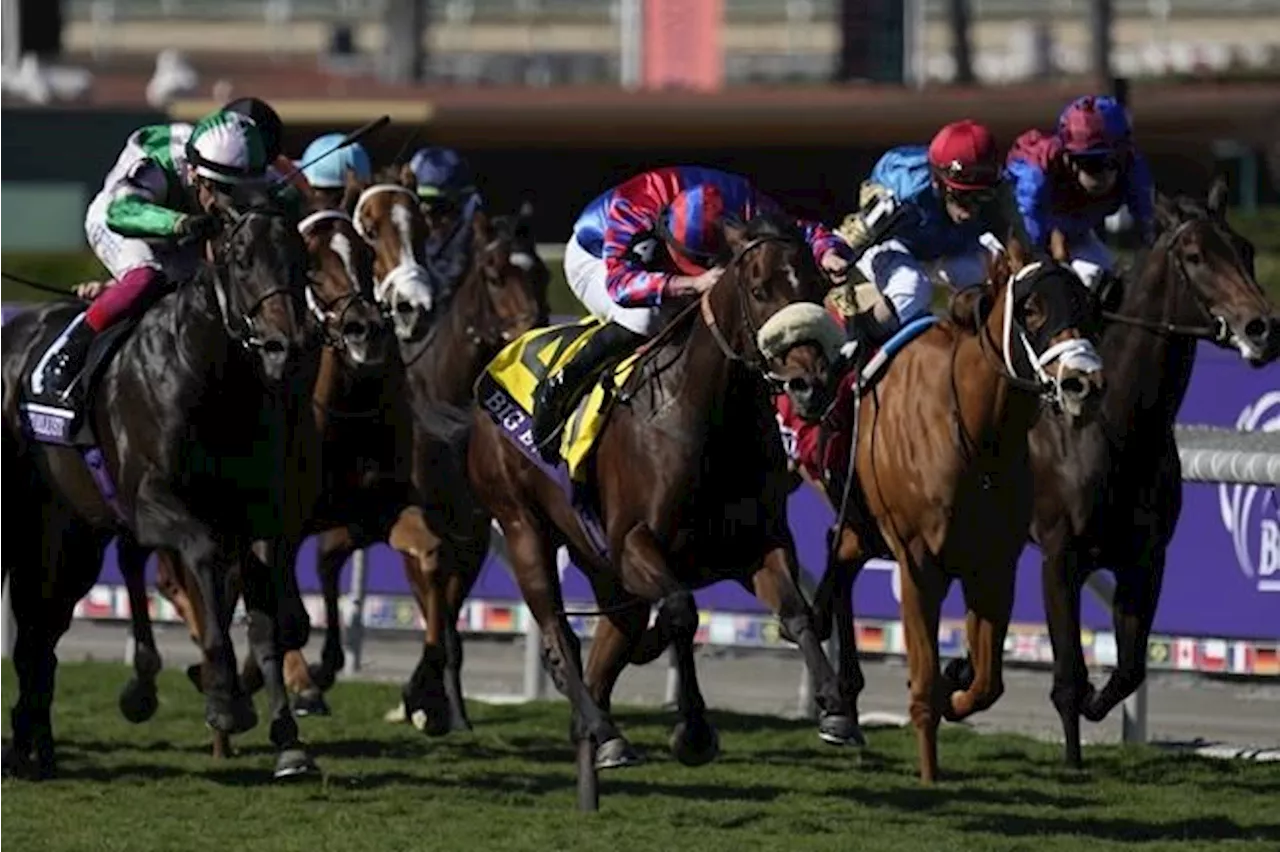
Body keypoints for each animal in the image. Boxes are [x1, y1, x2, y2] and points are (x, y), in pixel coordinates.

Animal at [0, 191, 318, 777]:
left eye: (302, 260)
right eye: (242, 260)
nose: (287, 348)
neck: (210, 374)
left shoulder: (261, 512)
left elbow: (268, 622)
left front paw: (289, 741)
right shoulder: (151, 505)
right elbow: (204, 560)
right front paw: (223, 700)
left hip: (73, 533)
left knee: (42, 631)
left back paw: (33, 744)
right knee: (37, 627)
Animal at [471, 213, 860, 808]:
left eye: (817, 287)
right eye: (758, 289)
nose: (809, 385)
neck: (707, 420)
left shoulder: (759, 544)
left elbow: (796, 612)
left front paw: (835, 707)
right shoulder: (637, 543)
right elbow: (681, 612)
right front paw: (693, 731)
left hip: (599, 561)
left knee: (611, 643)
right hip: (522, 528)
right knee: (560, 635)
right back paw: (604, 732)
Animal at [819, 240, 1111, 782]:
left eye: (1087, 306)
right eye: (1032, 310)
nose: (1085, 384)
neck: (975, 431)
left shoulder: (994, 564)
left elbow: (987, 681)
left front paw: (955, 688)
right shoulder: (918, 561)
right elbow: (922, 681)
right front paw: (930, 774)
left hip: (860, 525)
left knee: (840, 563)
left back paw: (842, 703)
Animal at [1029, 182, 1280, 767]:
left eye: (1245, 249)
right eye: (1195, 256)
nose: (1262, 329)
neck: (1114, 423)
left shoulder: (1145, 559)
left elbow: (1129, 669)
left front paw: (1099, 702)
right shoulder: (1059, 554)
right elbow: (1068, 675)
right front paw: (1073, 760)